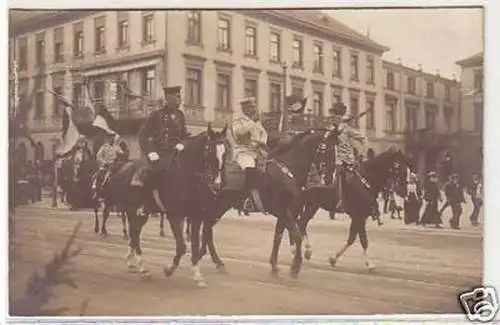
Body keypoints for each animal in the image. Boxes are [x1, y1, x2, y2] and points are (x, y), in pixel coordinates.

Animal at [191, 126, 340, 280]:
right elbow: (296, 234)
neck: (289, 171)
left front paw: (275, 265)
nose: (330, 179)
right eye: (328, 149)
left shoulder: (287, 213)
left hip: (219, 206)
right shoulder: (285, 211)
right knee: (207, 228)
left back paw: (213, 260)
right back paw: (212, 259)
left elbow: (279, 237)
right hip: (218, 205)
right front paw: (295, 267)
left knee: (207, 228)